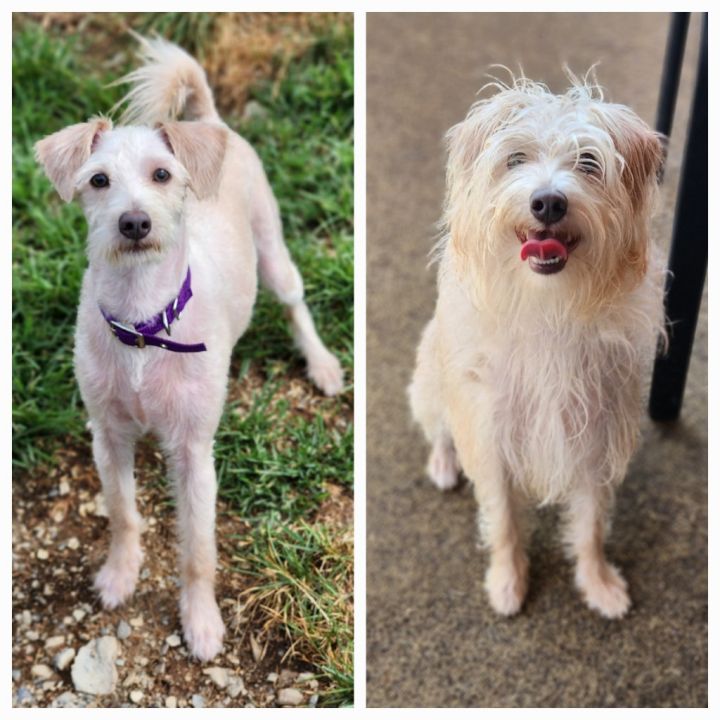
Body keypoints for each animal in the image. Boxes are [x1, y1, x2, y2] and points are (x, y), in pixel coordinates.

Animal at [35, 38, 344, 660]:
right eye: (97, 181)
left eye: (162, 174)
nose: (134, 222)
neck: (143, 325)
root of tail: (210, 122)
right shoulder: (108, 438)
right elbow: (123, 514)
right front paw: (120, 575)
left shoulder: (195, 454)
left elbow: (199, 552)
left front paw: (200, 622)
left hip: (274, 252)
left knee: (296, 304)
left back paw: (322, 364)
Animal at [410, 76, 664, 620]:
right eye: (516, 159)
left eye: (588, 162)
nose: (548, 202)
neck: (549, 306)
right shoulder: (491, 433)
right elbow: (504, 522)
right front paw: (508, 583)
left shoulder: (593, 437)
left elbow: (590, 525)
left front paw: (598, 583)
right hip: (431, 386)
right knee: (439, 429)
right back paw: (443, 464)